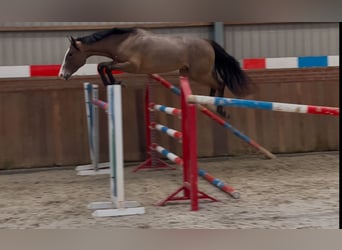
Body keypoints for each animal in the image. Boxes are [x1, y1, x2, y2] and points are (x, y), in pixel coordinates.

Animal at [58, 27, 252, 117]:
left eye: (70, 54)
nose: (62, 75)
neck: (123, 41)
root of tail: (207, 42)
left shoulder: (131, 66)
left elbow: (104, 66)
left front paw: (114, 82)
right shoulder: (119, 62)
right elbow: (103, 66)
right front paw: (114, 82)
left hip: (200, 74)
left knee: (220, 82)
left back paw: (219, 109)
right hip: (192, 73)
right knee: (216, 84)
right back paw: (209, 105)